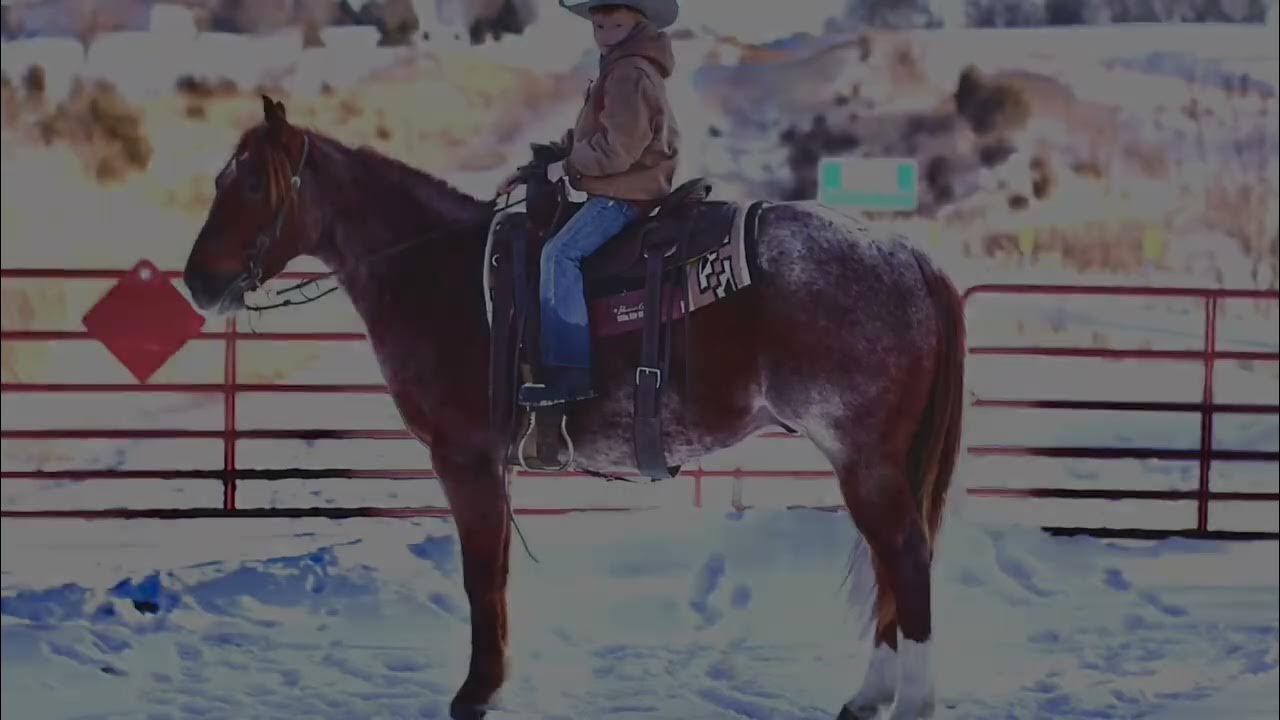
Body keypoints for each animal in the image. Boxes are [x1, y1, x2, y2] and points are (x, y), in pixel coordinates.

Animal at [182, 96, 966, 720]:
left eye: (249, 181)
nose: (198, 281)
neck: (444, 277)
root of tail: (905, 256)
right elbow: (495, 570)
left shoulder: (463, 459)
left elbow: (480, 574)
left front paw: (475, 692)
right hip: (877, 463)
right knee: (891, 564)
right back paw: (868, 697)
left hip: (865, 459)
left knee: (907, 559)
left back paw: (912, 703)